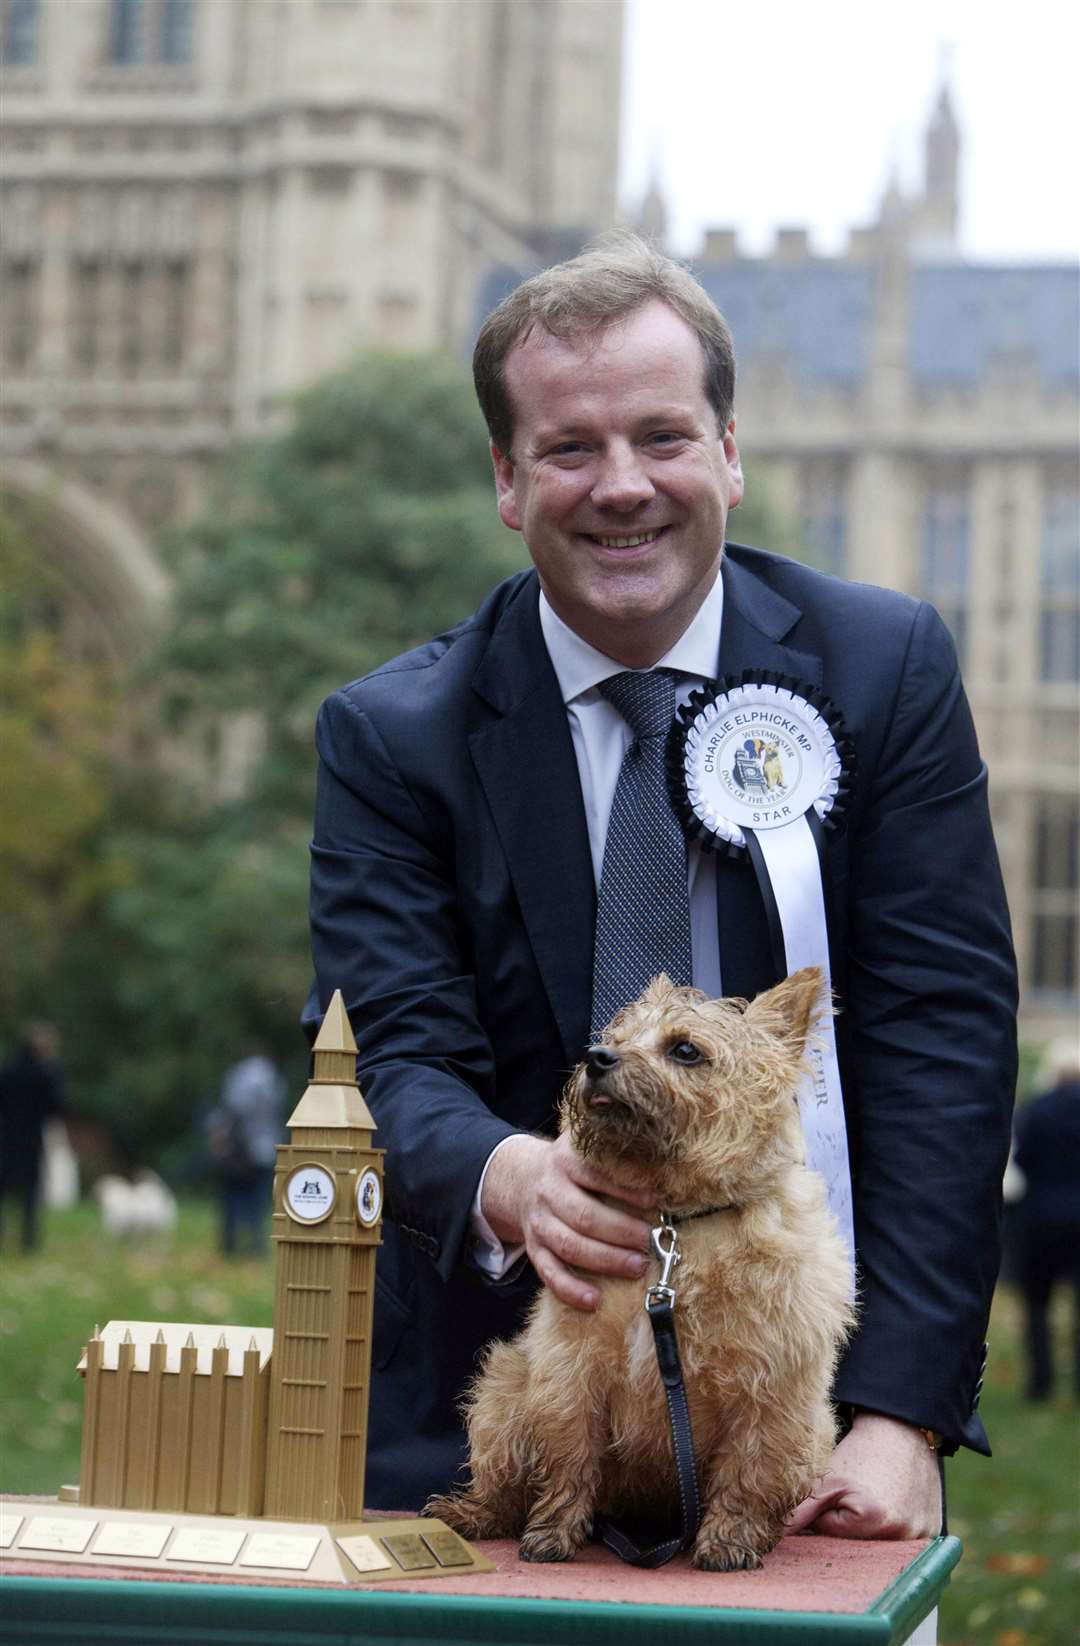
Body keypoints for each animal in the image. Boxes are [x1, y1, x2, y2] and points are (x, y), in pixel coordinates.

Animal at [424, 967, 856, 1573]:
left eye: (685, 1049)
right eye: (619, 1037)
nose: (597, 1056)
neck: (673, 1227)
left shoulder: (771, 1393)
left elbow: (749, 1471)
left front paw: (730, 1538)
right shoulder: (572, 1367)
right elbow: (569, 1456)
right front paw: (553, 1532)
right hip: (504, 1390)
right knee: (503, 1480)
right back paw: (472, 1514)